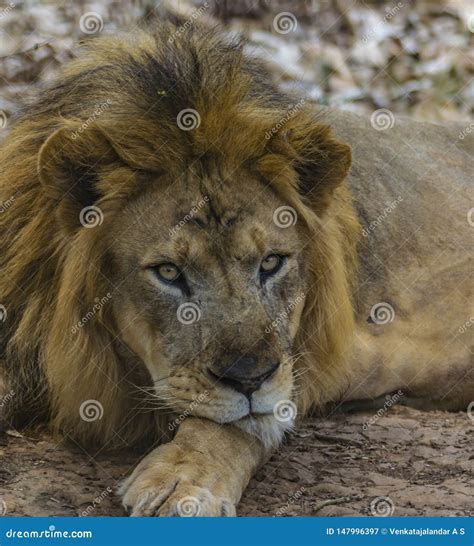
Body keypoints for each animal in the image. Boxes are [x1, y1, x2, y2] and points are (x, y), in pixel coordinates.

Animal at [0, 22, 472, 516]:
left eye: (271, 262)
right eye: (169, 272)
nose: (249, 379)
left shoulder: (299, 357)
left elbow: (236, 422)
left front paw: (184, 480)